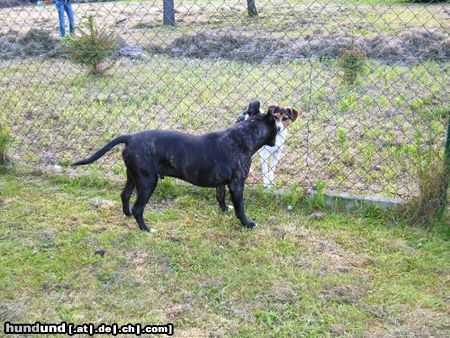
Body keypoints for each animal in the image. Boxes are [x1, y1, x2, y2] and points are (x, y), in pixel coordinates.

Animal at [74, 101, 284, 231]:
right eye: (276, 127)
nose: (279, 133)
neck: (244, 134)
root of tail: (130, 138)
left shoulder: (222, 183)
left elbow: (220, 196)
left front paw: (224, 209)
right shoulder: (237, 183)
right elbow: (240, 207)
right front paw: (247, 223)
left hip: (133, 175)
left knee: (125, 195)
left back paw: (127, 216)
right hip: (147, 181)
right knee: (138, 208)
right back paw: (146, 229)